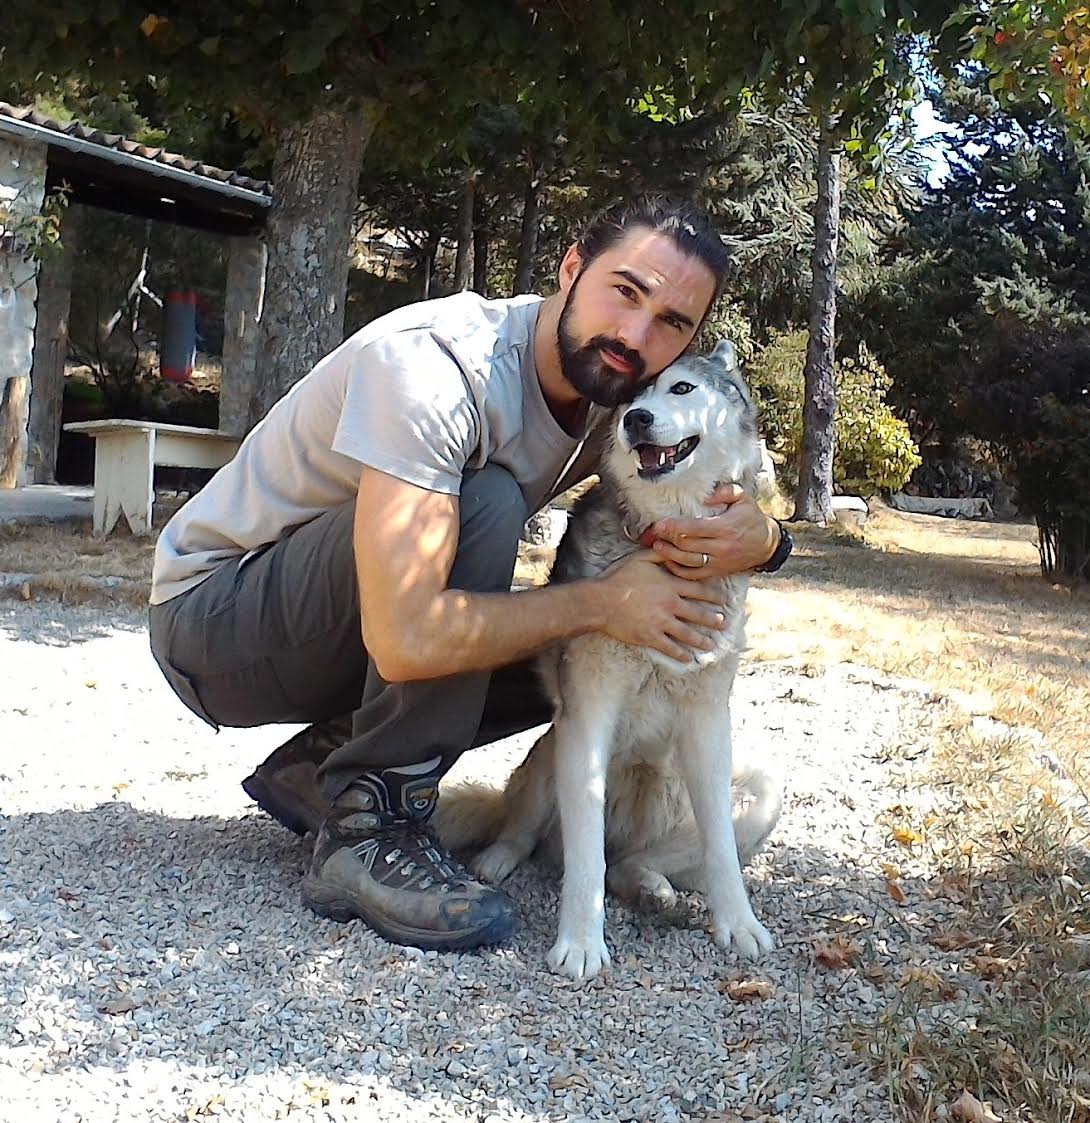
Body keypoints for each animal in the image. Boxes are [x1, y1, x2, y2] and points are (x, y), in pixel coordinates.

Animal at [435, 339, 785, 974]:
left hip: (757, 788)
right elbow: (585, 860)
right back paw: (497, 860)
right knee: (534, 835)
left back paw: (652, 889)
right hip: (552, 755)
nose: (635, 420)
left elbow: (721, 850)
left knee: (631, 862)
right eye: (628, 399)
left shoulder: (707, 720)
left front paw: (739, 924)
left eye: (680, 388)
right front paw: (579, 944)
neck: (666, 540)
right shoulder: (588, 714)